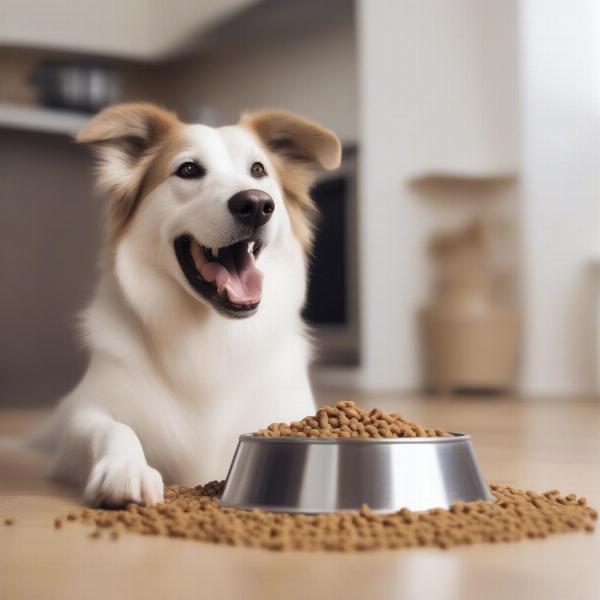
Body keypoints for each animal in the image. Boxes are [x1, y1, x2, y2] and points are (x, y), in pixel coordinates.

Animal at [32, 103, 340, 506]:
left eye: (259, 170)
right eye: (189, 170)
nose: (257, 204)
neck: (211, 333)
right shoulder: (84, 414)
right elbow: (112, 428)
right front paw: (125, 470)